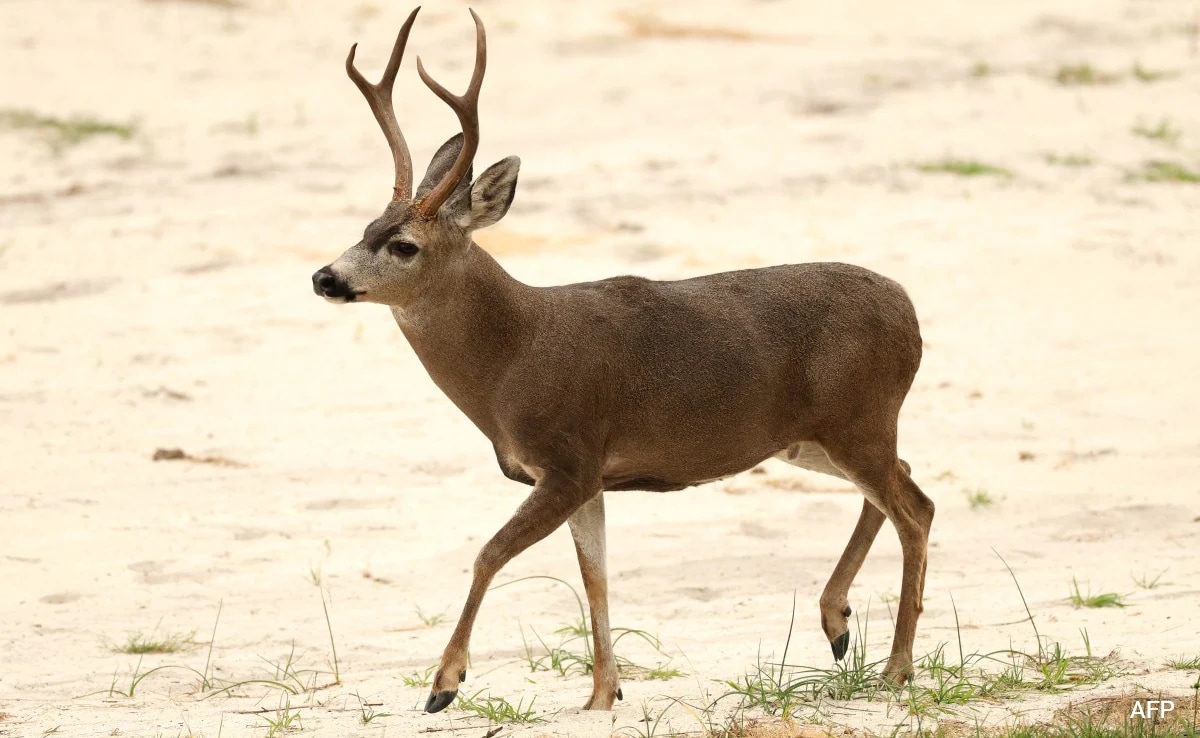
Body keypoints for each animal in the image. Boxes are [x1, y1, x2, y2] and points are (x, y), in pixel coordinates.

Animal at [311, 7, 934, 714]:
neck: (515, 356)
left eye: (404, 245)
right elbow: (595, 578)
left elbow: (489, 555)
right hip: (815, 439)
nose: (325, 277)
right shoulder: (587, 478)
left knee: (915, 510)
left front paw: (445, 682)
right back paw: (837, 624)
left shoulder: (570, 460)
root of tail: (911, 315)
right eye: (364, 230)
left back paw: (896, 668)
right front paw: (602, 696)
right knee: (905, 484)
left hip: (858, 419)